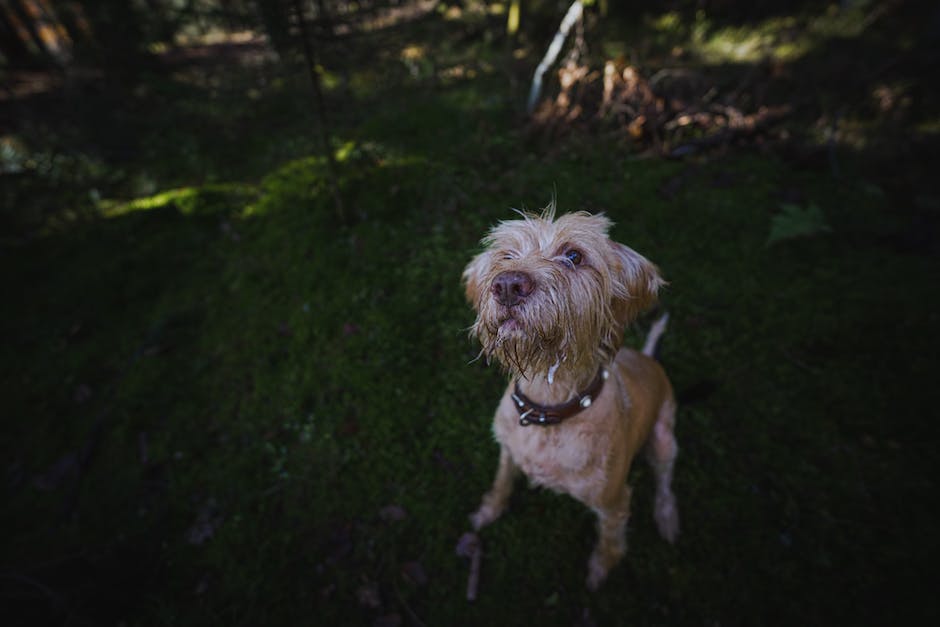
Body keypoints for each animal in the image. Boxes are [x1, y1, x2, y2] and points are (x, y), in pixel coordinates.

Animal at [464, 206, 680, 588]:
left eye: (574, 256)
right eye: (506, 255)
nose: (507, 285)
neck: (548, 406)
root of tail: (650, 360)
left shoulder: (614, 503)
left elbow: (610, 542)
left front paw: (598, 572)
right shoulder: (507, 452)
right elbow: (502, 483)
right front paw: (486, 512)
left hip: (665, 439)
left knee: (665, 482)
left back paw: (667, 519)